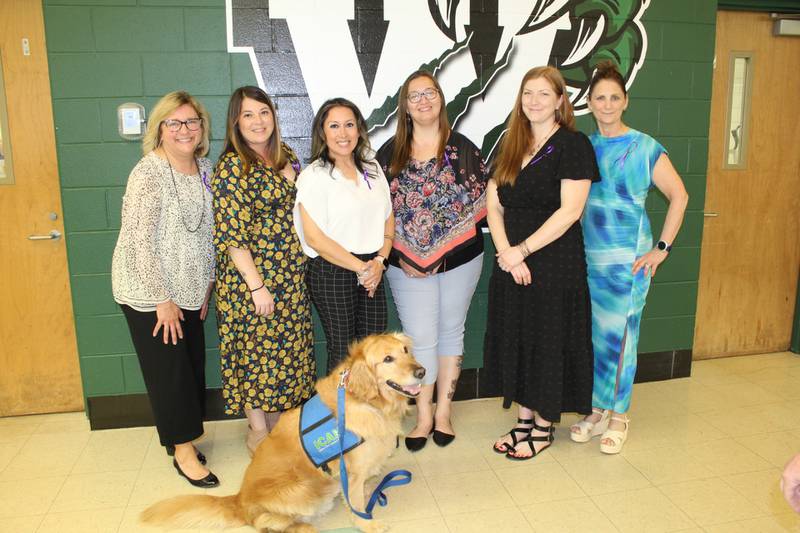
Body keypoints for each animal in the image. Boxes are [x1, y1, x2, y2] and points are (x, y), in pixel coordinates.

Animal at [139, 332, 424, 532]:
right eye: (387, 359)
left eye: (405, 350)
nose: (422, 371)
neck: (366, 401)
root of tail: (239, 500)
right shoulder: (350, 470)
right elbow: (355, 503)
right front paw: (368, 523)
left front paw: (370, 492)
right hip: (300, 489)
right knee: (265, 524)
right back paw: (303, 527)